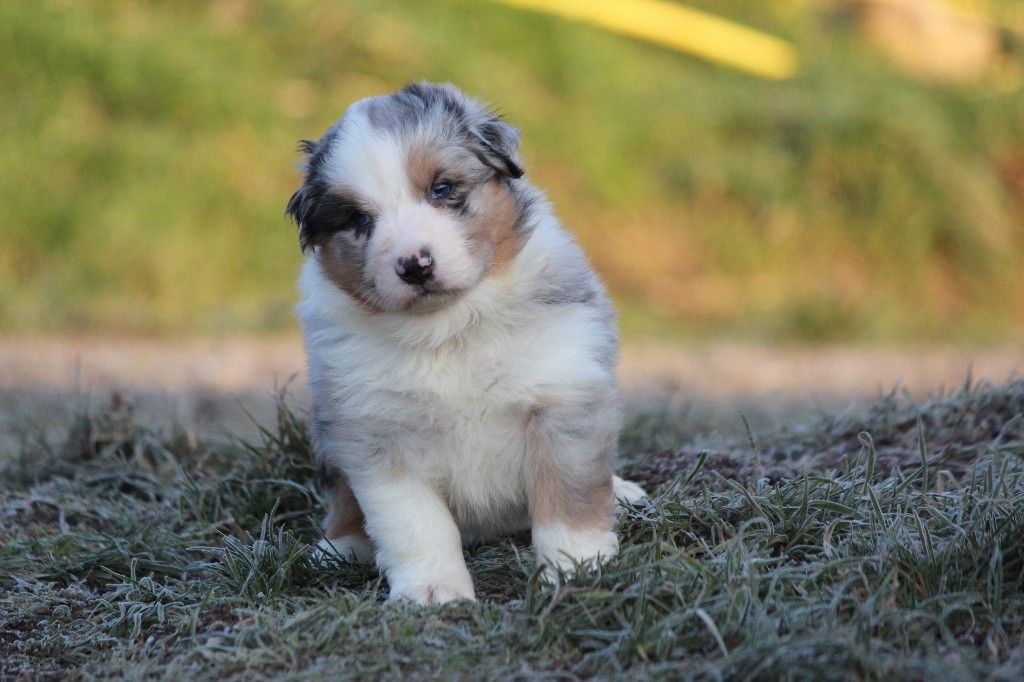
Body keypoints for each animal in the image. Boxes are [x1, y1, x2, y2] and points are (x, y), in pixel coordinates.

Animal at [284, 82, 643, 602]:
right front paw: (433, 593)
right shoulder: (374, 435)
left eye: (442, 188)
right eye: (357, 218)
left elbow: (568, 494)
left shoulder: (562, 395)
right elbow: (414, 523)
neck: (448, 329)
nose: (415, 265)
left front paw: (575, 568)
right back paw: (340, 548)